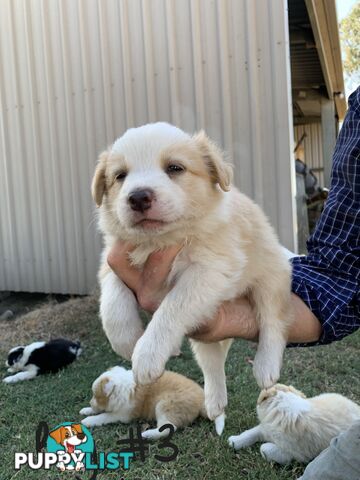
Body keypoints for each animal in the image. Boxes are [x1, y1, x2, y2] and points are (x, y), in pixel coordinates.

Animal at [80, 368, 221, 438]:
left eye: (95, 395)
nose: (90, 402)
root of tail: (202, 401)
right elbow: (101, 411)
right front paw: (86, 410)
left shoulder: (123, 414)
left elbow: (104, 416)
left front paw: (88, 421)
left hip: (165, 405)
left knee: (169, 428)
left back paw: (146, 434)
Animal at [92, 123, 292, 424]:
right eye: (120, 176)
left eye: (174, 168)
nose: (138, 197)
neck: (158, 241)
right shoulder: (112, 261)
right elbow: (113, 304)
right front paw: (127, 343)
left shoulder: (210, 270)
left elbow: (171, 308)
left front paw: (148, 353)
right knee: (212, 363)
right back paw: (215, 402)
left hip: (270, 276)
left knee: (271, 321)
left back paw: (265, 365)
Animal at [228, 382, 360, 464]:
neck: (283, 405)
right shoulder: (266, 427)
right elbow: (251, 432)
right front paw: (234, 441)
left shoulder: (293, 453)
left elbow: (264, 448)